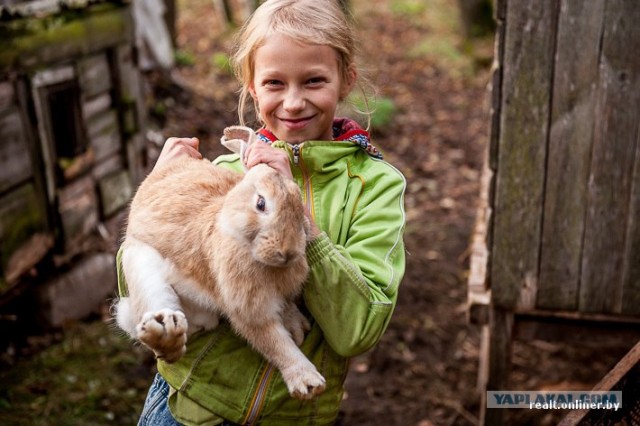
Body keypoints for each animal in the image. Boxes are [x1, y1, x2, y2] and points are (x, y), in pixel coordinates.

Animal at [111, 125, 324, 400]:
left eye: (300, 205)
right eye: (261, 203)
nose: (287, 252)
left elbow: (285, 312)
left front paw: (297, 327)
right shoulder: (247, 307)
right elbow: (275, 343)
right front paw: (309, 383)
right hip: (140, 263)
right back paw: (166, 336)